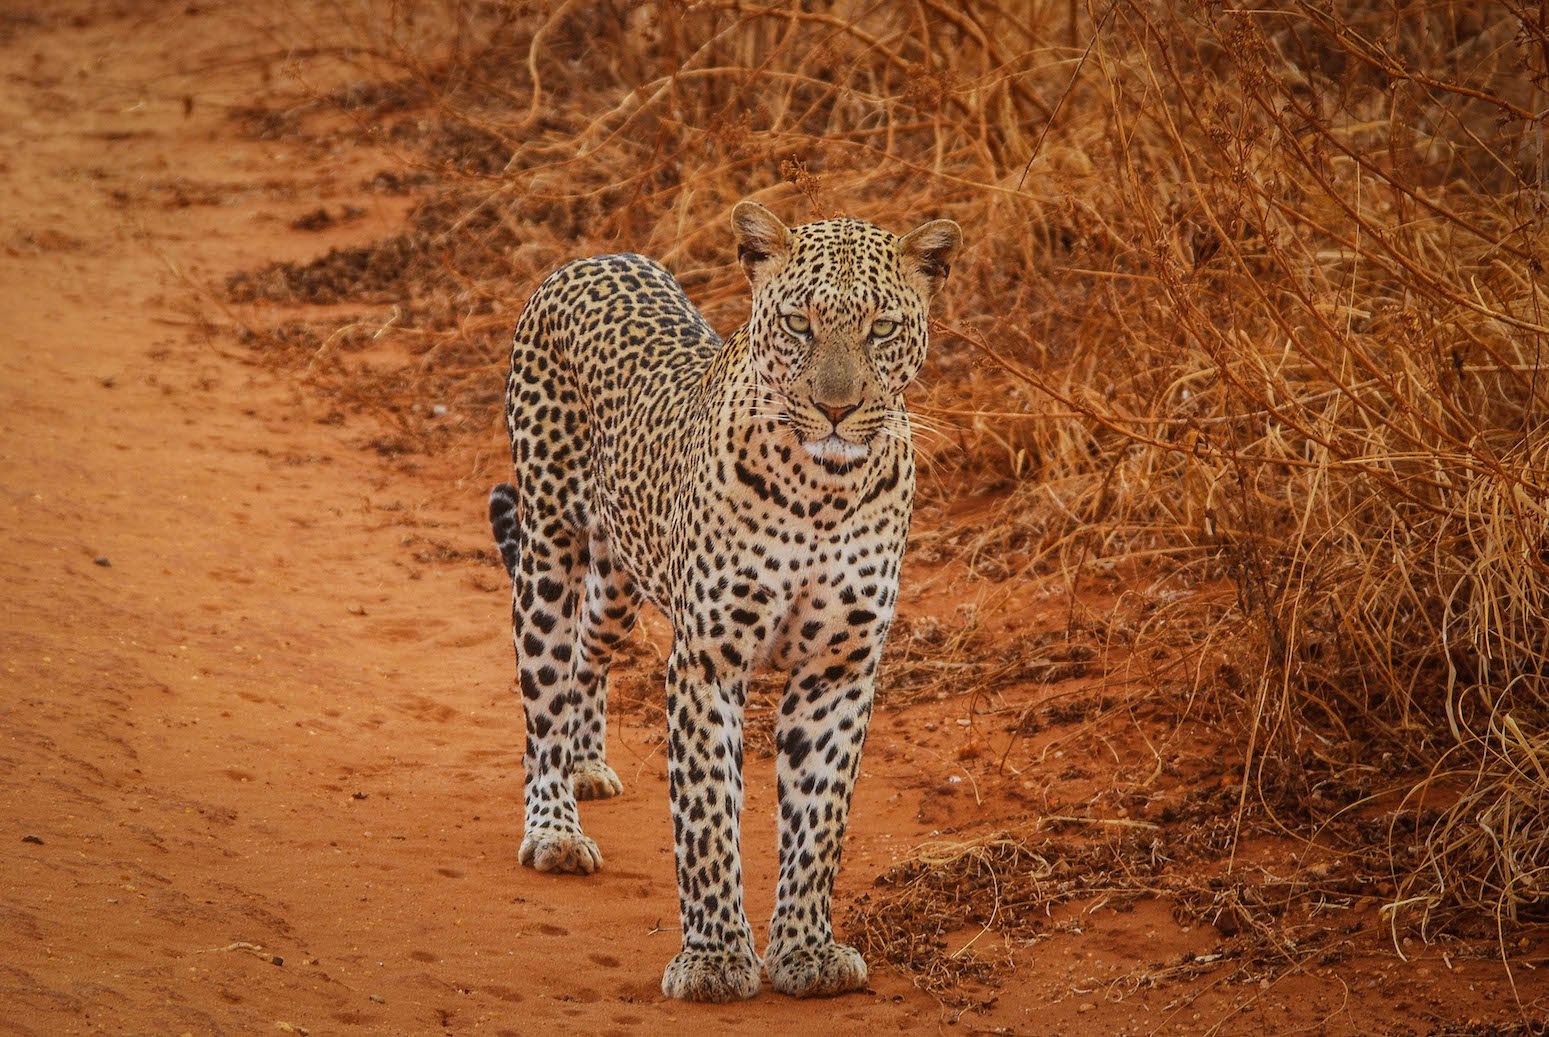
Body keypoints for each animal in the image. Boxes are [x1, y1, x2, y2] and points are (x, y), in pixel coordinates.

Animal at [489, 198, 960, 998]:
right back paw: (554, 826)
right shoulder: (708, 659)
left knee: (588, 656)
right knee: (544, 690)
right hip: (548, 549)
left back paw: (586, 764)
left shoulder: (839, 669)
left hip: (619, 580)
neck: (822, 492)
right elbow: (707, 816)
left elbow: (819, 823)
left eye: (882, 328)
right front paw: (713, 959)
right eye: (798, 323)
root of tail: (592, 257)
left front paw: (806, 952)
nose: (836, 408)